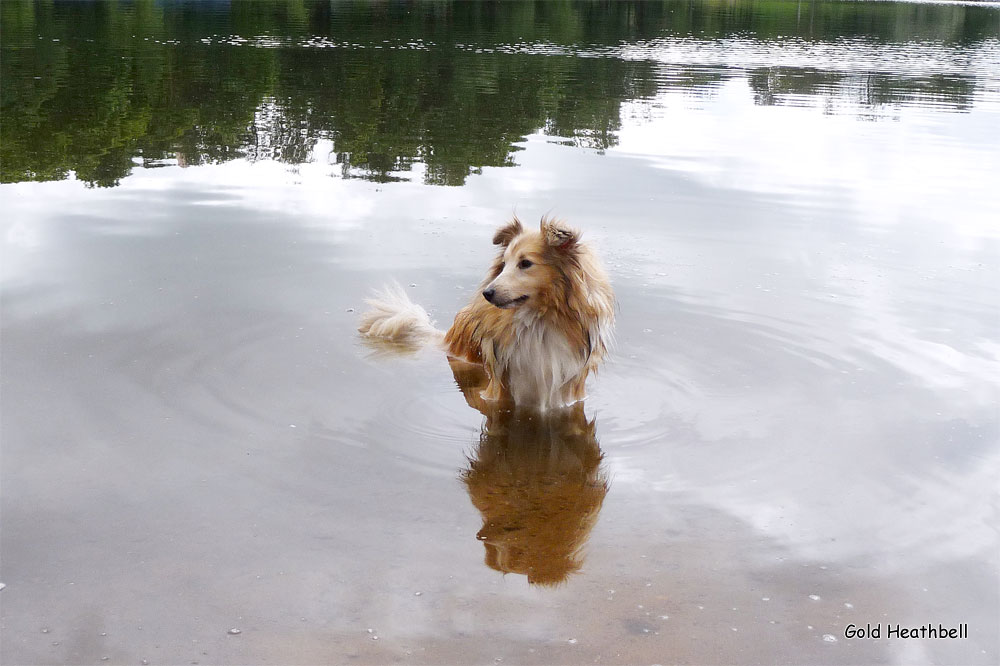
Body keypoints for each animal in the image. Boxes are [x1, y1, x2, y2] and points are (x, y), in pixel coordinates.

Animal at [356, 215, 612, 410]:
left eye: (525, 263)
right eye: (504, 264)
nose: (487, 293)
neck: (540, 323)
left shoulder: (565, 393)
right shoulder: (503, 393)